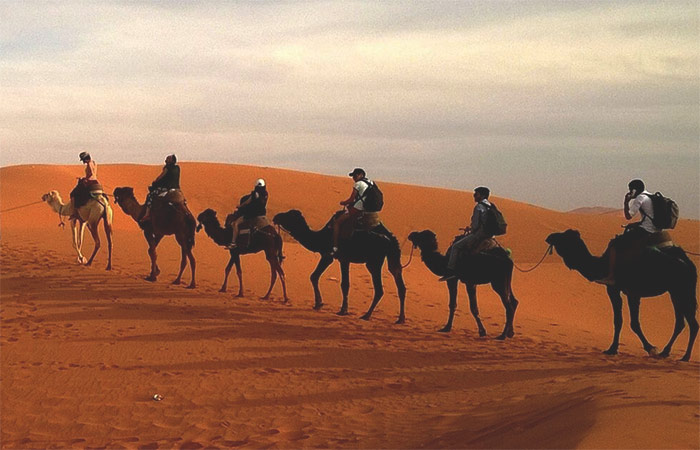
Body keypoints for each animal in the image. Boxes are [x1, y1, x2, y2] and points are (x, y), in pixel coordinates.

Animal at [272, 209, 408, 322]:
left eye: (289, 215)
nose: (276, 216)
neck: (321, 237)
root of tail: (390, 240)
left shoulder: (332, 256)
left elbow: (331, 281)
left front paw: (335, 308)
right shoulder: (338, 258)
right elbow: (326, 279)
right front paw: (322, 305)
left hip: (374, 262)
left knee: (379, 289)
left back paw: (366, 315)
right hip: (392, 258)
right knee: (399, 283)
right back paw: (400, 319)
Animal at [548, 229, 696, 362]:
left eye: (564, 237)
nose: (550, 236)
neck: (603, 265)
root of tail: (688, 263)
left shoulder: (621, 290)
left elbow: (626, 322)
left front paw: (617, 349)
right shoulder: (625, 291)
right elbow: (626, 321)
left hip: (682, 290)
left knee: (692, 323)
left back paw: (685, 357)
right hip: (676, 291)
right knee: (681, 322)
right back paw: (666, 352)